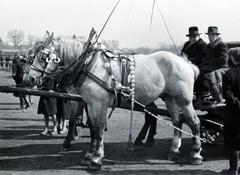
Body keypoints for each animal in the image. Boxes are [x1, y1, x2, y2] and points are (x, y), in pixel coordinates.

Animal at [23, 29, 202, 170]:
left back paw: (196, 154)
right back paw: (173, 151)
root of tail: (185, 62)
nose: (30, 79)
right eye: (33, 54)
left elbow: (99, 129)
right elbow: (93, 128)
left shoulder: (99, 104)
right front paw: (88, 155)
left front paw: (96, 159)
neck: (88, 64)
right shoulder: (89, 103)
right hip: (170, 98)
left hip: (184, 100)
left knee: (194, 122)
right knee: (177, 121)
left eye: (43, 56)